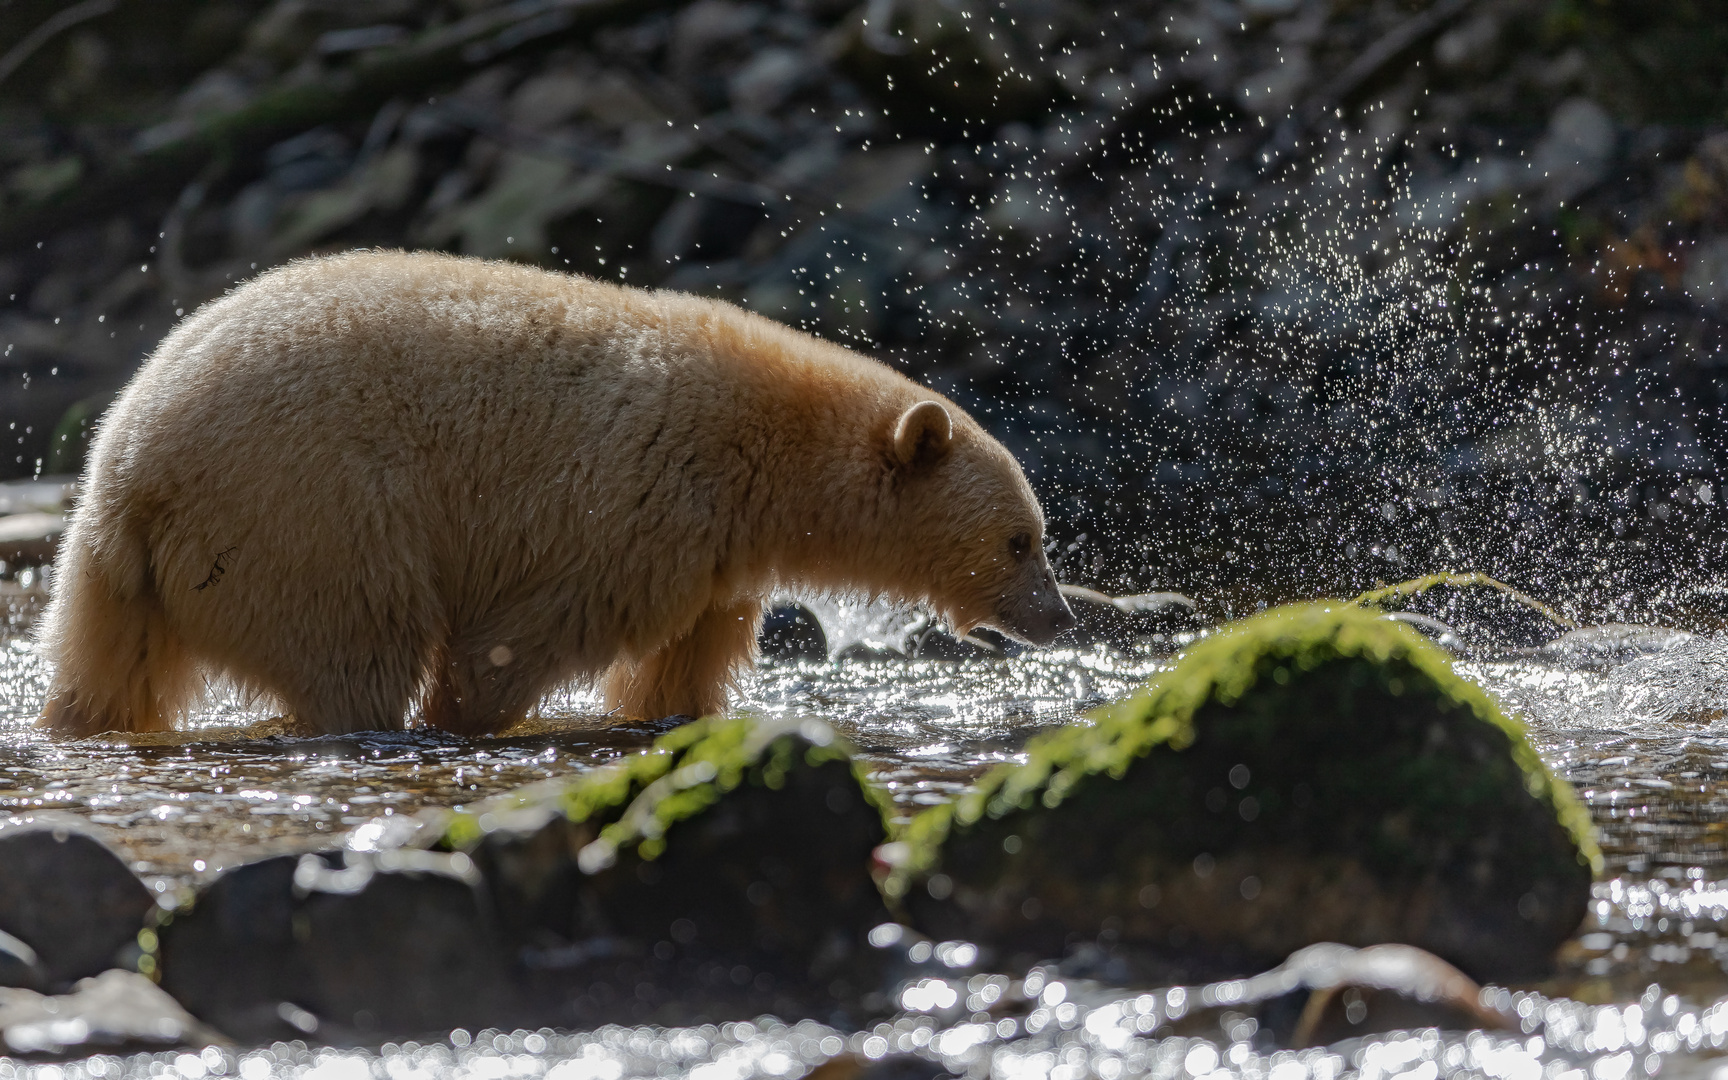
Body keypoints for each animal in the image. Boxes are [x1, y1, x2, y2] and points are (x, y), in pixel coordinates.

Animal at [37, 248, 1064, 736]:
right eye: (1022, 539)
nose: (1058, 616)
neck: (764, 453)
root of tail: (130, 474)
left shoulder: (713, 560)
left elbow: (679, 667)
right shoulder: (633, 506)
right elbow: (517, 640)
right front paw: (466, 716)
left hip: (124, 578)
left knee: (104, 676)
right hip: (310, 513)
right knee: (357, 643)